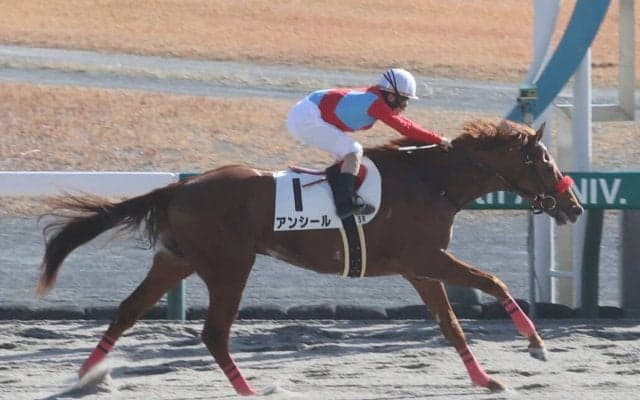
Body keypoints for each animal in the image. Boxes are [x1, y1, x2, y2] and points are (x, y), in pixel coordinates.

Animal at [37, 118, 583, 395]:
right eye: (545, 160)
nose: (574, 205)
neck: (433, 182)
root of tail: (179, 189)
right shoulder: (427, 257)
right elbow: (494, 282)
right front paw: (536, 345)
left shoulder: (419, 268)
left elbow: (451, 325)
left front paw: (486, 378)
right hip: (229, 265)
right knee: (214, 333)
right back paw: (249, 391)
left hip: (177, 260)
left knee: (128, 311)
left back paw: (87, 376)